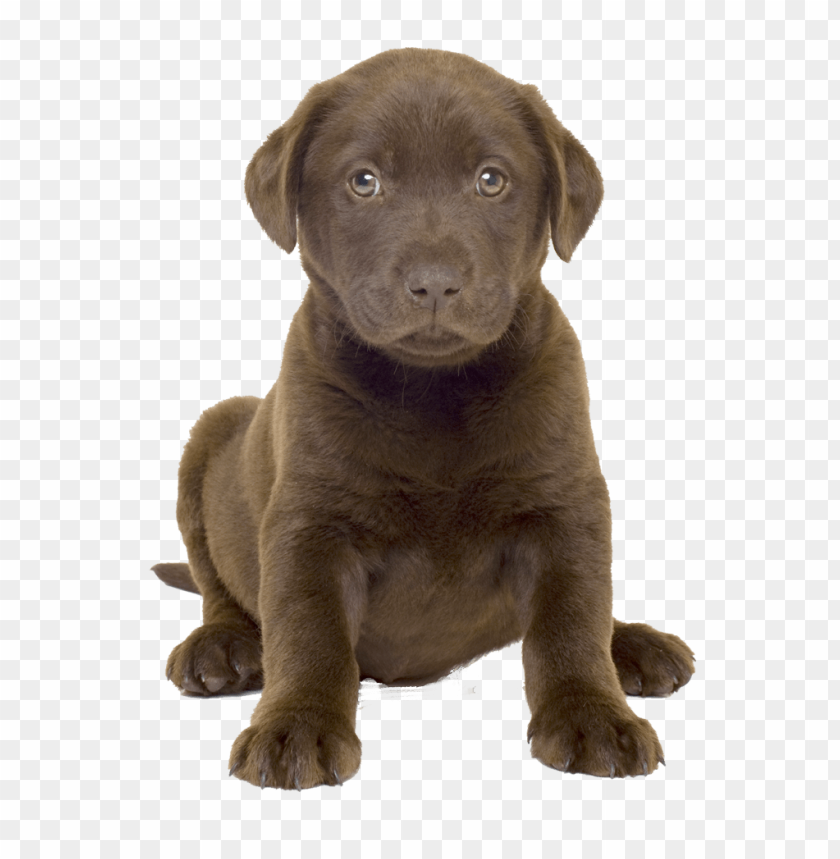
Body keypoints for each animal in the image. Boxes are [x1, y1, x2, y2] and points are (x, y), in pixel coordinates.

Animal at [153, 45, 696, 788]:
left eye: (491, 180)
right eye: (364, 182)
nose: (436, 282)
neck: (434, 393)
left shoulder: (567, 507)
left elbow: (571, 618)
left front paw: (591, 714)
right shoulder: (308, 523)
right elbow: (309, 631)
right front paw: (296, 726)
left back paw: (634, 645)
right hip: (213, 432)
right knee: (220, 587)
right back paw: (223, 646)